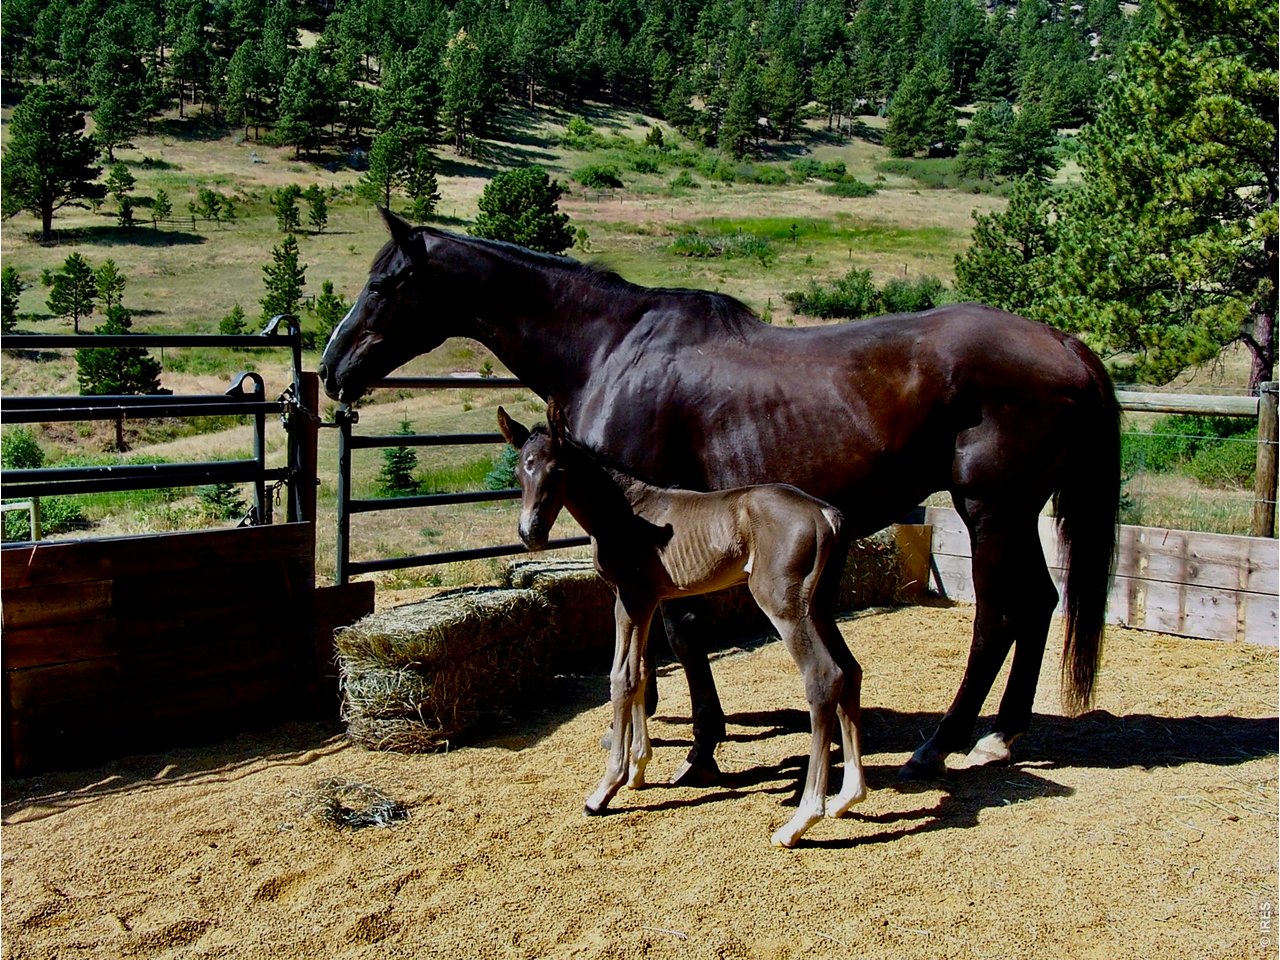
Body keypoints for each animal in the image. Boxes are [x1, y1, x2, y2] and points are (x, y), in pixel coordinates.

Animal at [320, 210, 1120, 784]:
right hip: (1017, 515)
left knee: (998, 618)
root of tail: (1066, 345)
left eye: (385, 283)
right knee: (1041, 605)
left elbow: (681, 633)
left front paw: (697, 747)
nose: (330, 368)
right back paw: (1001, 736)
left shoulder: (658, 525)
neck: (609, 349)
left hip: (990, 512)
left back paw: (943, 743)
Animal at [498, 402, 866, 847]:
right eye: (521, 469)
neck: (624, 511)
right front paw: (638, 768)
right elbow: (640, 674)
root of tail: (826, 514)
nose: (530, 533)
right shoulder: (649, 601)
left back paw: (801, 820)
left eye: (557, 470)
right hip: (819, 604)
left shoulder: (630, 598)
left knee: (824, 677)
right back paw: (848, 797)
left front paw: (606, 787)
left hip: (784, 603)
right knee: (850, 671)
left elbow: (620, 679)